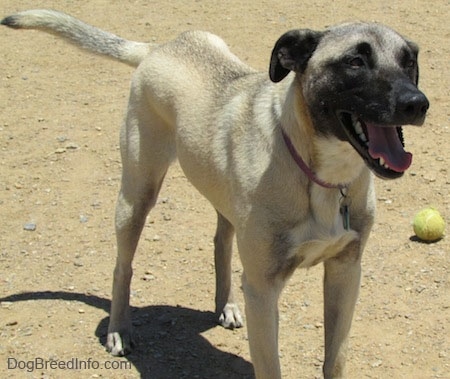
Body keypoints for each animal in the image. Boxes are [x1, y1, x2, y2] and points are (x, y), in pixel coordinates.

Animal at [1, 10, 428, 378]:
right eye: (355, 61)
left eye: (409, 61)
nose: (417, 103)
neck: (322, 175)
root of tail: (159, 47)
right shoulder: (264, 289)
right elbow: (270, 367)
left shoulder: (345, 271)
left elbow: (334, 361)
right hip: (137, 194)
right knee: (123, 266)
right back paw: (120, 330)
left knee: (221, 243)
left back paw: (226, 305)